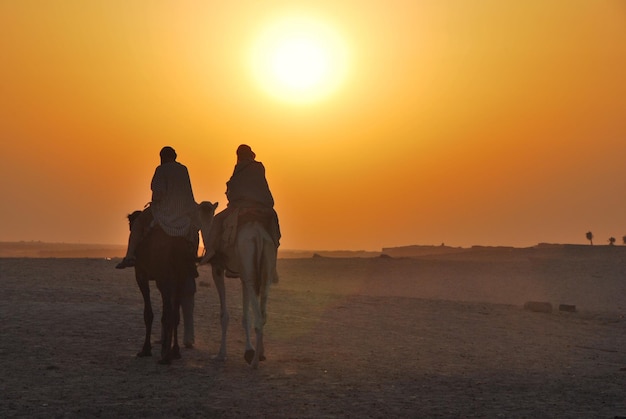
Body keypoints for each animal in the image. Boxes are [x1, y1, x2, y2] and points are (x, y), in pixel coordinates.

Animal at [200, 205, 278, 370]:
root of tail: (258, 235)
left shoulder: (217, 268)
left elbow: (224, 315)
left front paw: (221, 354)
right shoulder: (243, 276)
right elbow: (245, 315)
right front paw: (249, 351)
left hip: (247, 261)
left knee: (259, 317)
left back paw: (254, 363)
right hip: (264, 270)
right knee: (263, 314)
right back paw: (260, 355)